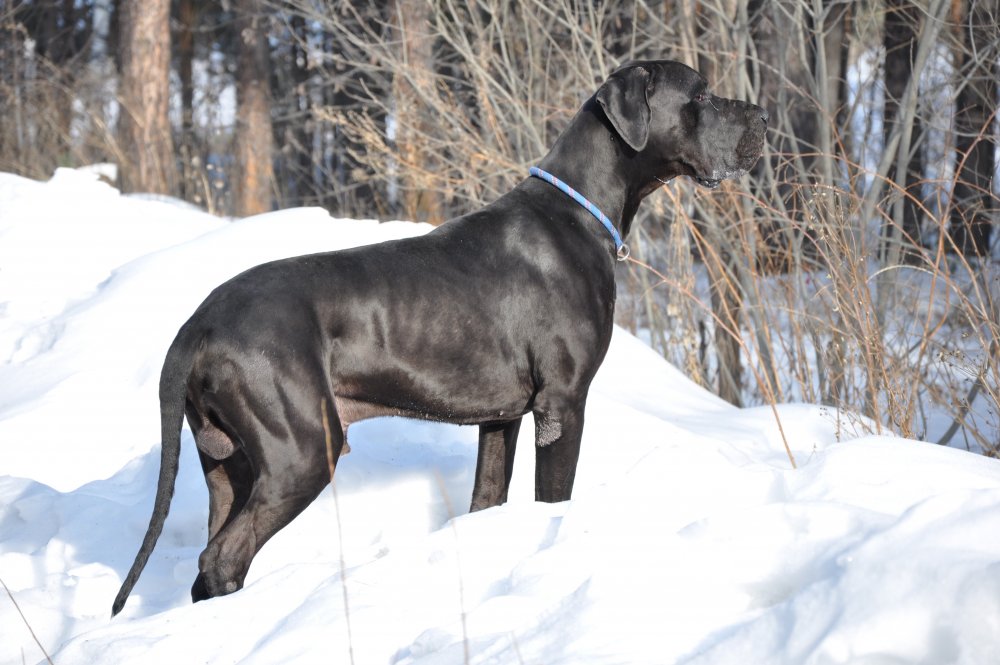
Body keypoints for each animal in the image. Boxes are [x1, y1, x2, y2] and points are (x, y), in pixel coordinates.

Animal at [111, 59, 764, 616]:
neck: (580, 211)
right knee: (222, 557)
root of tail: (197, 325)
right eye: (702, 95)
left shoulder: (502, 419)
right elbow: (554, 499)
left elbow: (487, 497)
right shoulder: (562, 405)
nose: (761, 116)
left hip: (228, 461)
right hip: (300, 452)